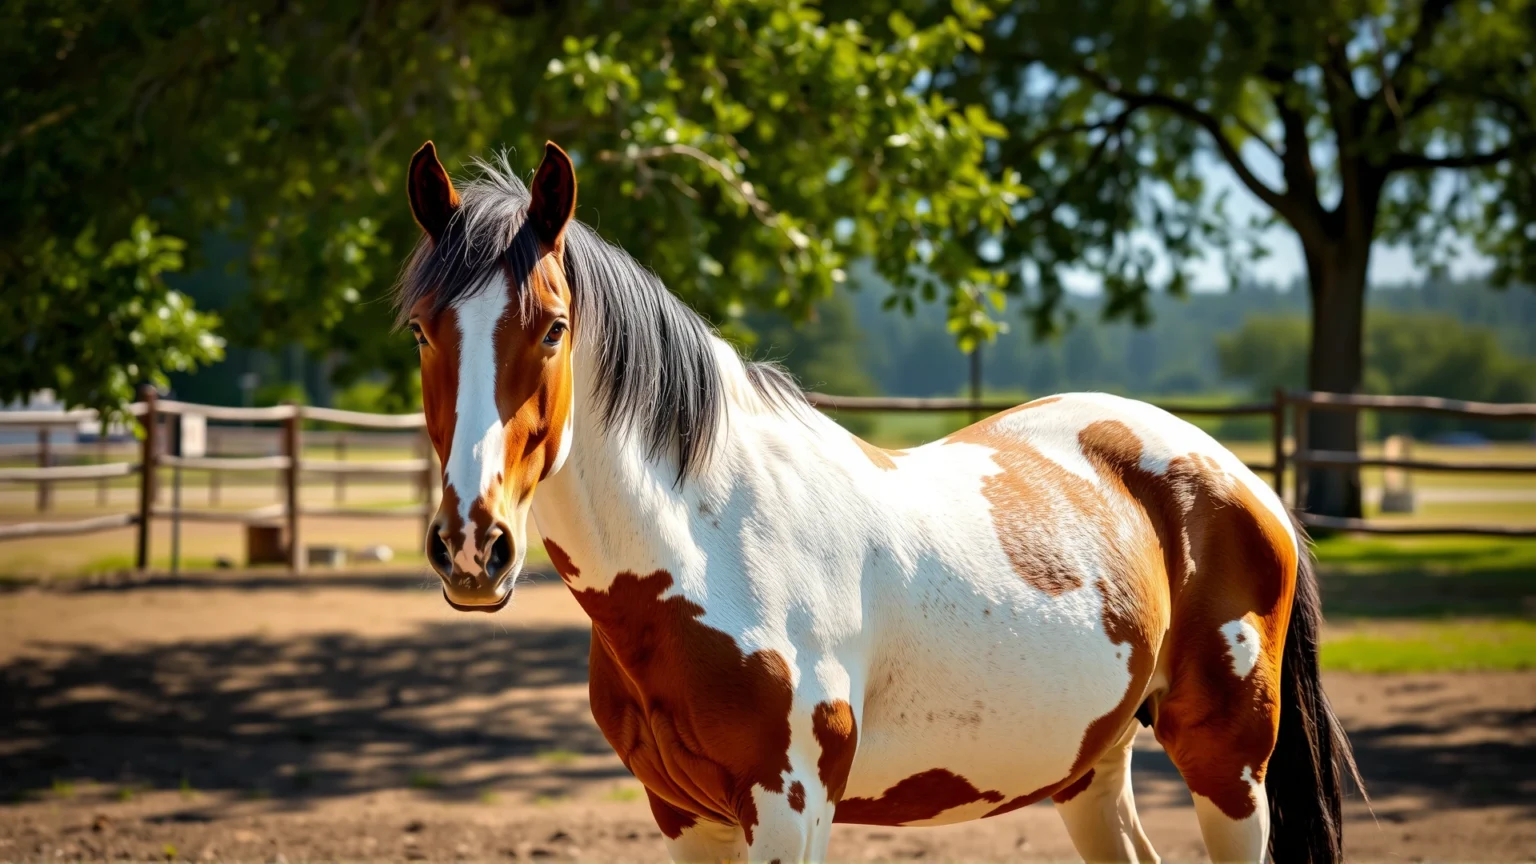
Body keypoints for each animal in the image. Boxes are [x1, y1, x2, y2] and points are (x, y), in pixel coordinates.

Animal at [395, 140, 1361, 863]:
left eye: (554, 328)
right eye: (420, 330)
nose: (474, 546)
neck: (708, 546)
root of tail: (1242, 481)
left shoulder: (791, 810)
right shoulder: (685, 817)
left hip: (1228, 767)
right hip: (1093, 768)